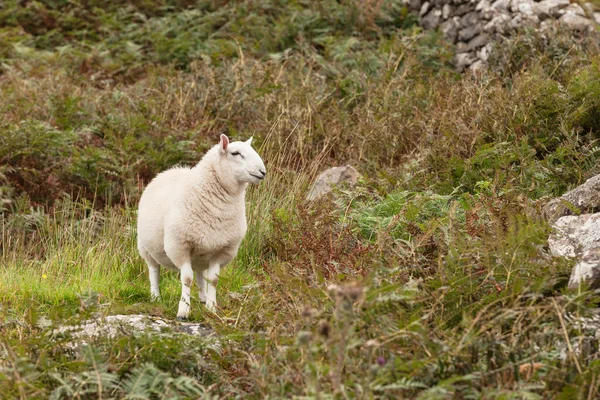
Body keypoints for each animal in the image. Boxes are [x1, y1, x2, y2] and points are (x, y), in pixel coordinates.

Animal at [138, 136, 268, 320]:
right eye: (235, 153)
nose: (262, 172)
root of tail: (169, 171)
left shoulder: (221, 249)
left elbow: (213, 280)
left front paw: (212, 308)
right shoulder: (180, 246)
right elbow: (186, 279)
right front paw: (183, 311)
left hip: (202, 252)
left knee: (200, 274)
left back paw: (203, 298)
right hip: (146, 248)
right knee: (154, 270)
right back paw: (156, 296)